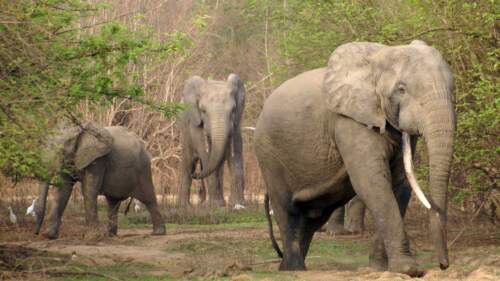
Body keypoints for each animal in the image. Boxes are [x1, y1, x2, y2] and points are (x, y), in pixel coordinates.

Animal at [33, 122, 166, 238]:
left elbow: (88, 189)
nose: (36, 233)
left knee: (148, 199)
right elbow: (63, 190)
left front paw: (92, 237)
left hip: (143, 169)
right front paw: (49, 236)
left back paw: (157, 233)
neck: (76, 130)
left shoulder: (98, 159)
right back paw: (110, 235)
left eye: (60, 151)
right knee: (113, 202)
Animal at [178, 73, 246, 207]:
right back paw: (184, 206)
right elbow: (206, 157)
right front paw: (216, 205)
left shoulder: (236, 125)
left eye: (233, 110)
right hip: (184, 132)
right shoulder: (195, 125)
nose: (195, 174)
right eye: (203, 111)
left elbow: (236, 157)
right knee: (188, 161)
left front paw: (238, 205)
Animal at [256, 40, 456, 274]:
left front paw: (381, 268)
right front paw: (408, 270)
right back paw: (295, 270)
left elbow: (399, 184)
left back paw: (287, 267)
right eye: (401, 89)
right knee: (288, 211)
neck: (378, 58)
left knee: (311, 218)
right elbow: (372, 182)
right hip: (269, 154)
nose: (443, 265)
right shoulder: (349, 122)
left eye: (452, 88)